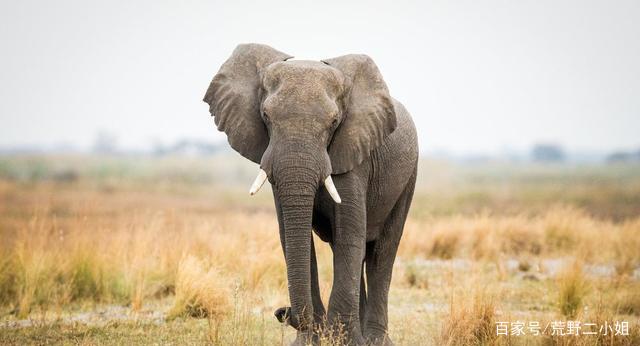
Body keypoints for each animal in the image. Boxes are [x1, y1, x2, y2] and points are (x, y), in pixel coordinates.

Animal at [202, 44, 418, 344]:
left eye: (334, 121)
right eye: (265, 116)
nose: (282, 311)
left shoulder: (354, 154)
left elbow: (349, 234)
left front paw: (342, 340)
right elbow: (293, 235)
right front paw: (312, 340)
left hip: (408, 176)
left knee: (381, 251)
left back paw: (374, 340)